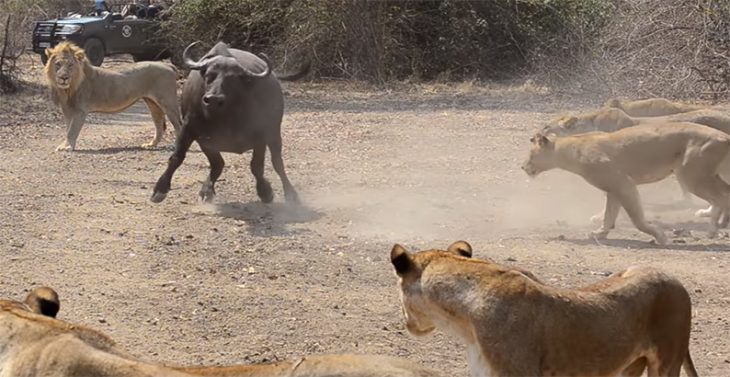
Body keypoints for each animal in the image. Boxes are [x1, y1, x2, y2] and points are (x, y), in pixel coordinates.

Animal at [44, 41, 182, 151]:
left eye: (70, 65)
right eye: (57, 64)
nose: (64, 78)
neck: (68, 89)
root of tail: (167, 65)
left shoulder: (80, 111)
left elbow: (72, 131)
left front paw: (67, 147)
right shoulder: (67, 110)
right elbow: (68, 129)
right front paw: (67, 145)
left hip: (168, 102)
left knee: (178, 125)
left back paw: (175, 146)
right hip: (152, 103)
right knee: (159, 126)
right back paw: (151, 145)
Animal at [151, 41, 304, 203]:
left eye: (233, 79)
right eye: (209, 76)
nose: (213, 99)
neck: (223, 117)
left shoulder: (260, 136)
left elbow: (257, 166)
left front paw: (265, 191)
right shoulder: (192, 131)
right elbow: (177, 157)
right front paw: (160, 189)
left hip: (274, 132)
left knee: (277, 162)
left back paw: (291, 194)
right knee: (218, 164)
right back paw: (207, 191)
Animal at [516, 122, 728, 242]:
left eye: (531, 154)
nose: (522, 167)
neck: (568, 150)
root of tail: (725, 136)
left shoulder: (624, 184)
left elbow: (637, 220)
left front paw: (659, 236)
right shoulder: (614, 189)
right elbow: (609, 215)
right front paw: (599, 234)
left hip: (691, 175)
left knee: (720, 197)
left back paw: (712, 228)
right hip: (709, 175)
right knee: (726, 193)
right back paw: (719, 221)